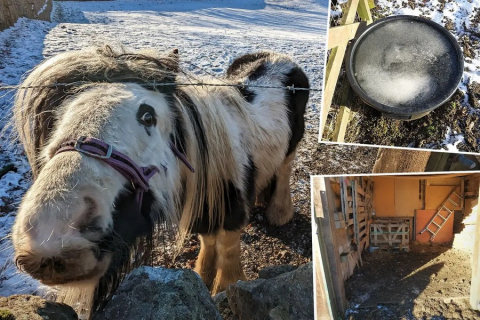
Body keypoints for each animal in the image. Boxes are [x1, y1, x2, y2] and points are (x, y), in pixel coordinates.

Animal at [12, 45, 312, 318]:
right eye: (59, 117)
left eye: (148, 116)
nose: (52, 232)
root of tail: (279, 57)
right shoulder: (203, 212)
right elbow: (208, 241)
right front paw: (202, 276)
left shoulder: (232, 212)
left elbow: (227, 249)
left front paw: (224, 287)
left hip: (292, 144)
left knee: (284, 168)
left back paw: (278, 213)